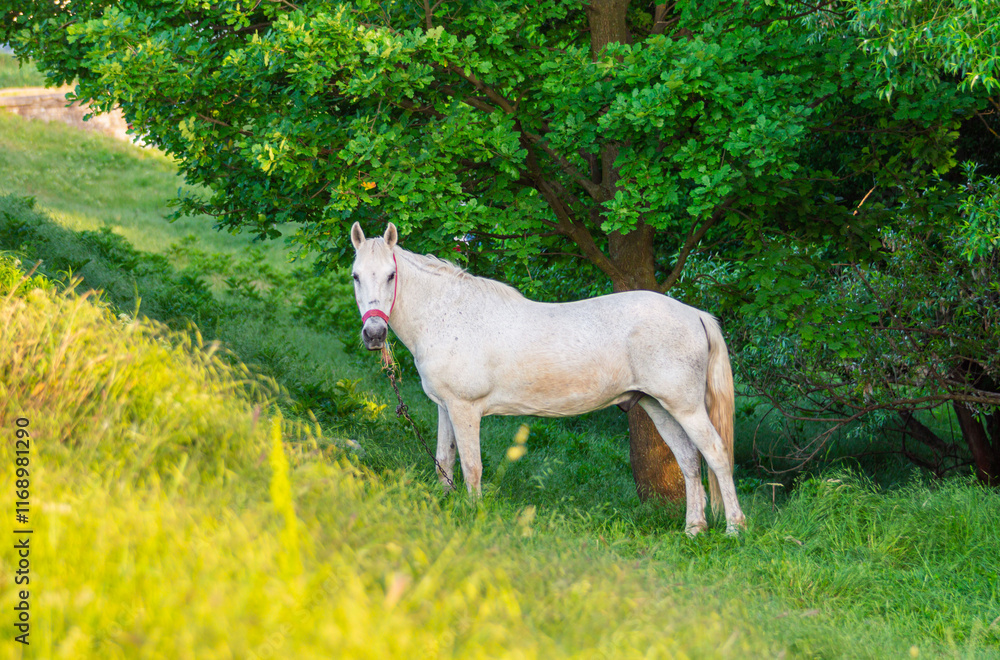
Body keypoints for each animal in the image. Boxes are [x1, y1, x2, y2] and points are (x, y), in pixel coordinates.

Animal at [349, 222, 746, 535]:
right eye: (356, 275)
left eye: (391, 275)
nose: (374, 333)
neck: (448, 314)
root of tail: (695, 314)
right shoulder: (446, 408)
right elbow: (444, 460)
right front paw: (445, 504)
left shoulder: (466, 409)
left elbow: (472, 466)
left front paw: (473, 514)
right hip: (658, 406)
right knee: (689, 461)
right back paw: (694, 529)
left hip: (686, 407)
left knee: (716, 454)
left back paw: (734, 529)